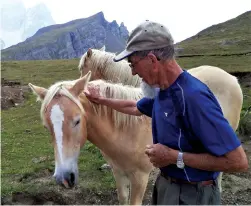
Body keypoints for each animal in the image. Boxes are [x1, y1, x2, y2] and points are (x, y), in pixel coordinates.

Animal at [27, 71, 153, 205]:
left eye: (77, 121)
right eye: (46, 126)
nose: (64, 178)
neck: (128, 132)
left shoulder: (140, 177)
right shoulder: (118, 172)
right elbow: (123, 199)